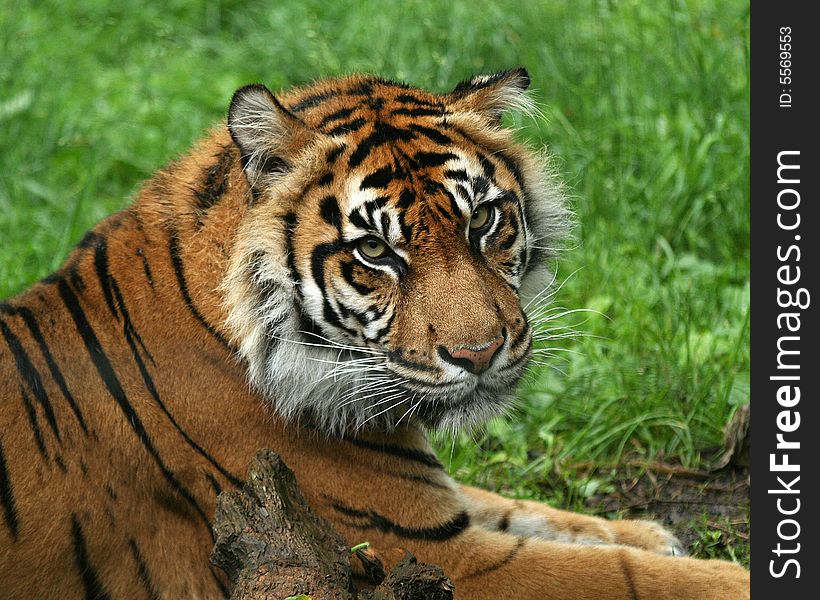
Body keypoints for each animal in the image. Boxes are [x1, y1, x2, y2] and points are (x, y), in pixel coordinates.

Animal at [0, 68, 748, 596]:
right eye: (375, 252)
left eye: (483, 222)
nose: (481, 353)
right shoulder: (431, 553)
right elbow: (624, 579)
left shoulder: (436, 506)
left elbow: (527, 509)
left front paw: (646, 532)